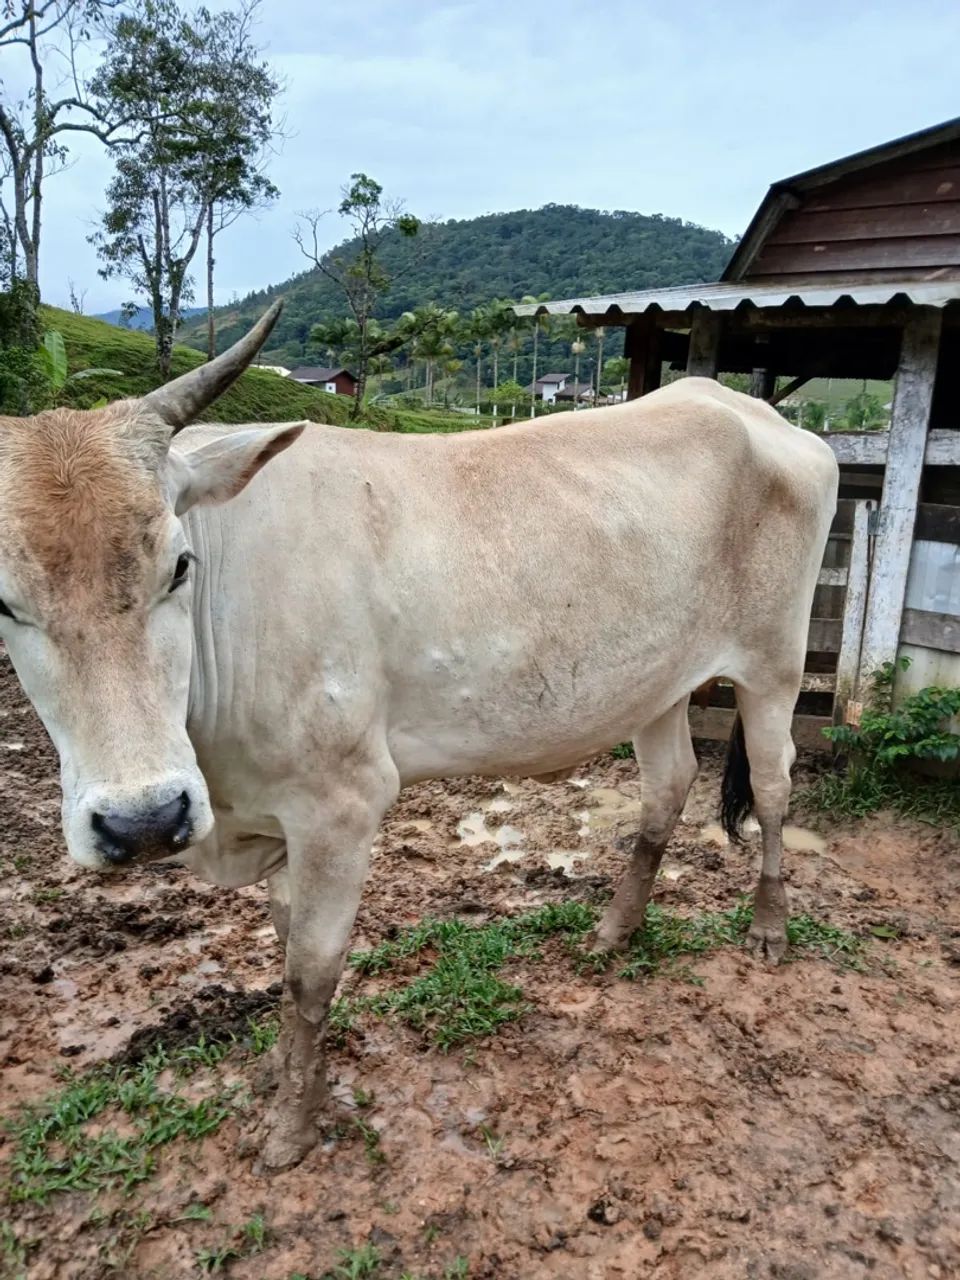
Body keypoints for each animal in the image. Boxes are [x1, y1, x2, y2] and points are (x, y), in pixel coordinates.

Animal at [0, 301, 838, 1170]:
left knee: (773, 786)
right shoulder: (280, 817)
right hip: (655, 682)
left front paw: (292, 1125)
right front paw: (285, 1072)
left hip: (773, 663)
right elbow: (285, 945)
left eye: (179, 565)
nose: (143, 820)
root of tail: (745, 406)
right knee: (667, 787)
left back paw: (768, 927)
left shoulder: (341, 803)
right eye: (3, 601)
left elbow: (309, 972)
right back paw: (615, 930)